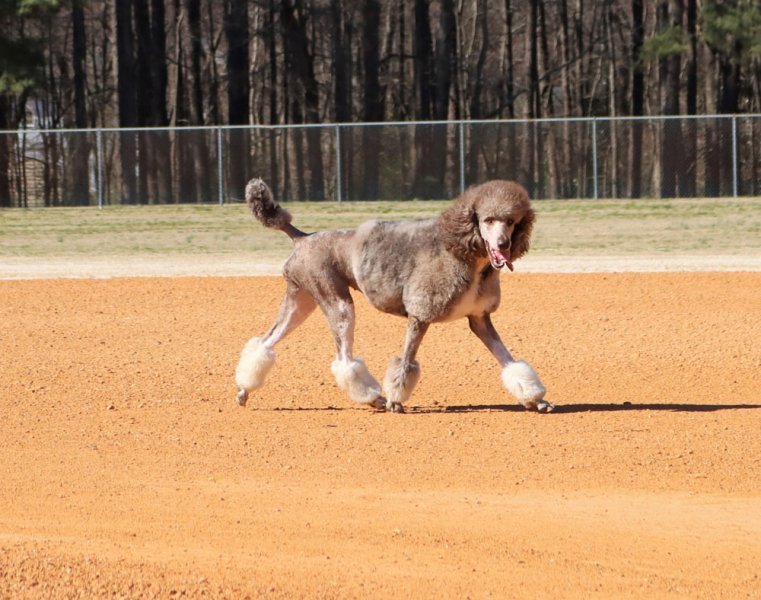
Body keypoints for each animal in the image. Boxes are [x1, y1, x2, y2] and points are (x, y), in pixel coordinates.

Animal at [235, 178, 553, 413]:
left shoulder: (479, 318)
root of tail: (302, 237)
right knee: (344, 359)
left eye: (511, 221)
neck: (464, 254)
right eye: (487, 220)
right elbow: (405, 362)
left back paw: (243, 389)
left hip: (302, 300)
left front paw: (536, 399)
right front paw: (395, 401)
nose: (503, 244)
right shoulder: (420, 315)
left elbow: (507, 360)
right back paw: (373, 398)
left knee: (265, 342)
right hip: (337, 303)